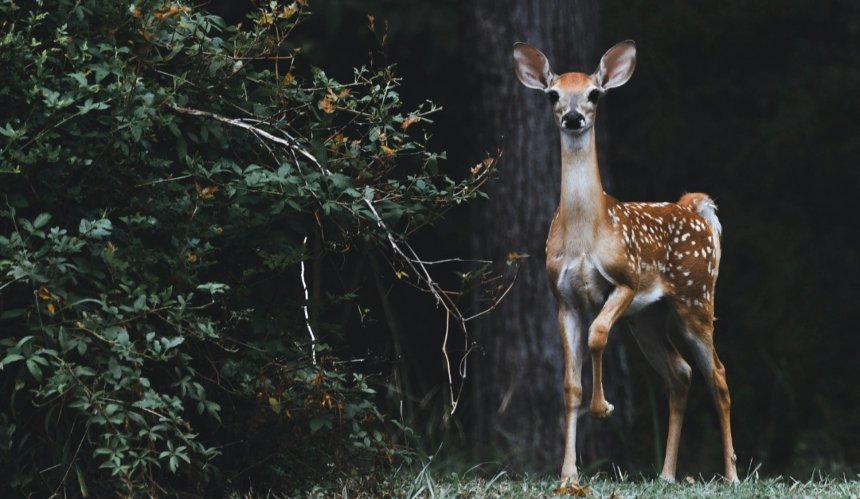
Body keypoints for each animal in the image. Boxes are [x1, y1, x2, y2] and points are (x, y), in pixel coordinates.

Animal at [510, 41, 740, 486]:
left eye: (595, 94)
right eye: (553, 95)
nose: (574, 117)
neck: (586, 234)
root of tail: (695, 208)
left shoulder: (626, 280)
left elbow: (598, 335)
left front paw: (604, 408)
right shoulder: (563, 299)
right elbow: (570, 385)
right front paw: (568, 474)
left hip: (696, 297)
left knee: (718, 375)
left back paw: (732, 475)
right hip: (648, 317)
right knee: (680, 373)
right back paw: (666, 475)